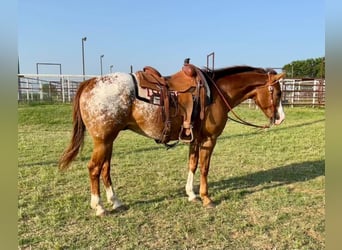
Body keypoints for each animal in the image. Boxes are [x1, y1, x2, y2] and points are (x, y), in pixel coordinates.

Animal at [59, 63, 286, 215]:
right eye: (277, 93)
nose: (281, 118)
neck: (216, 93)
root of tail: (91, 82)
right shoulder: (209, 140)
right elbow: (204, 168)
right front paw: (206, 198)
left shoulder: (195, 139)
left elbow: (192, 165)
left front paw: (191, 194)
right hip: (103, 140)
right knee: (94, 169)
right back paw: (98, 206)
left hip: (109, 141)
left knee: (105, 168)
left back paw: (115, 201)